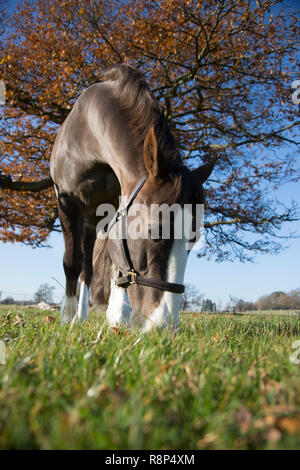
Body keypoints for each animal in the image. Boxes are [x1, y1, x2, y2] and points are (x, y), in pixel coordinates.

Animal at [50, 64, 217, 332]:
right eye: (154, 232)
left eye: (194, 240)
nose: (164, 325)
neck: (88, 136)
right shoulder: (67, 202)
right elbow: (72, 261)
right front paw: (66, 316)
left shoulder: (118, 204)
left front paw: (119, 315)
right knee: (82, 263)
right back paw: (77, 315)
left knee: (89, 269)